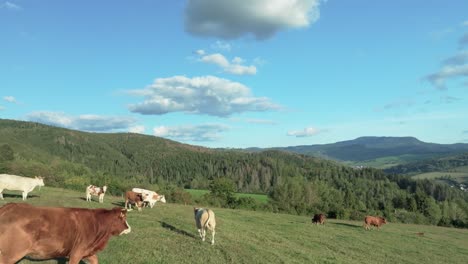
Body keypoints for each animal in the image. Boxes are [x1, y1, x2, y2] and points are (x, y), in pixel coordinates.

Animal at [0, 203, 131, 262]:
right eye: (123, 218)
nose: (129, 229)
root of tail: (10, 206)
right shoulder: (76, 253)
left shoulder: (87, 251)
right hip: (10, 254)